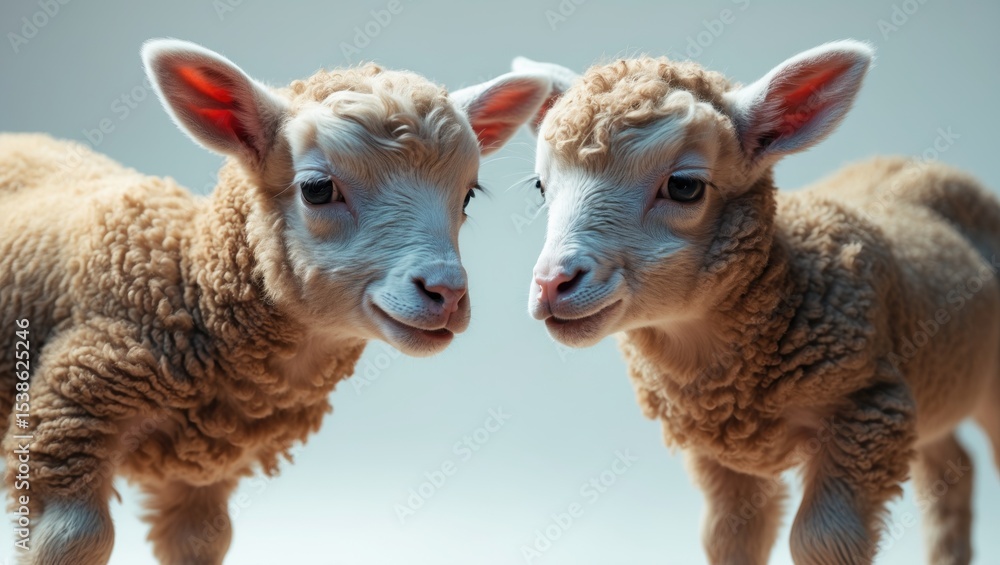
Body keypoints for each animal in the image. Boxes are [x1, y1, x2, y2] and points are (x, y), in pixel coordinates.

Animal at [0, 39, 550, 564]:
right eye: (318, 188)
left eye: (468, 196)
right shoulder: (66, 421)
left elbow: (201, 541)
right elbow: (75, 539)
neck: (189, 289)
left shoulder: (200, 471)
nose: (447, 293)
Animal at [515, 41, 1000, 564]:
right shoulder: (720, 456)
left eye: (684, 185)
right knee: (951, 468)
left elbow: (822, 540)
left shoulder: (870, 414)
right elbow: (729, 537)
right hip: (938, 383)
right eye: (541, 187)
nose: (552, 284)